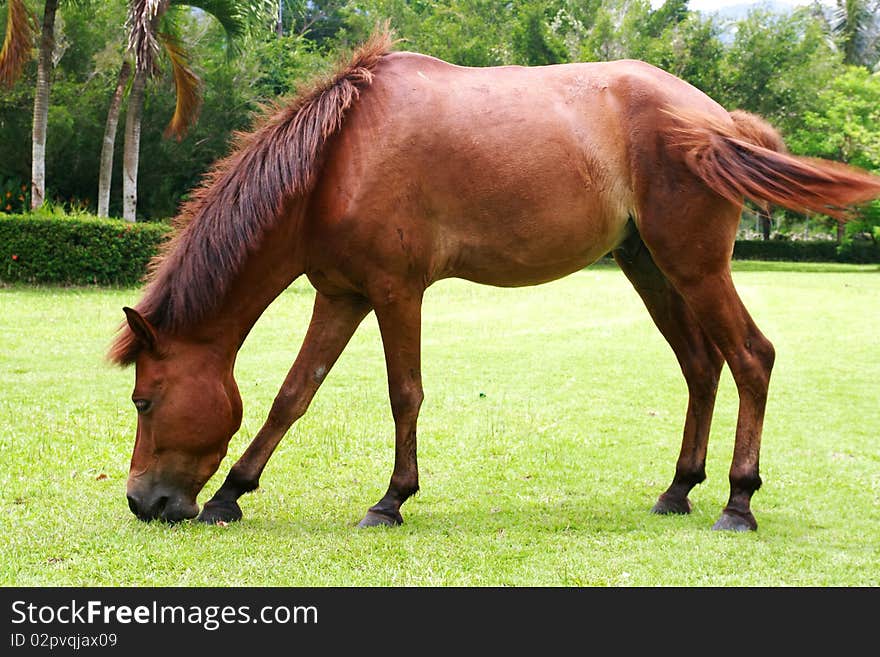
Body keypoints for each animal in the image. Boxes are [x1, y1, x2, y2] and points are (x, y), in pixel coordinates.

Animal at [108, 32, 880, 532]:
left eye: (145, 400)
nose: (143, 502)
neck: (337, 158)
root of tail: (716, 119)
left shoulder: (395, 293)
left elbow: (404, 394)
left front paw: (391, 499)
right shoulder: (341, 294)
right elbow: (293, 395)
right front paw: (231, 494)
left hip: (695, 267)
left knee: (751, 358)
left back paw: (737, 503)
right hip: (652, 269)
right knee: (701, 364)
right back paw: (678, 489)